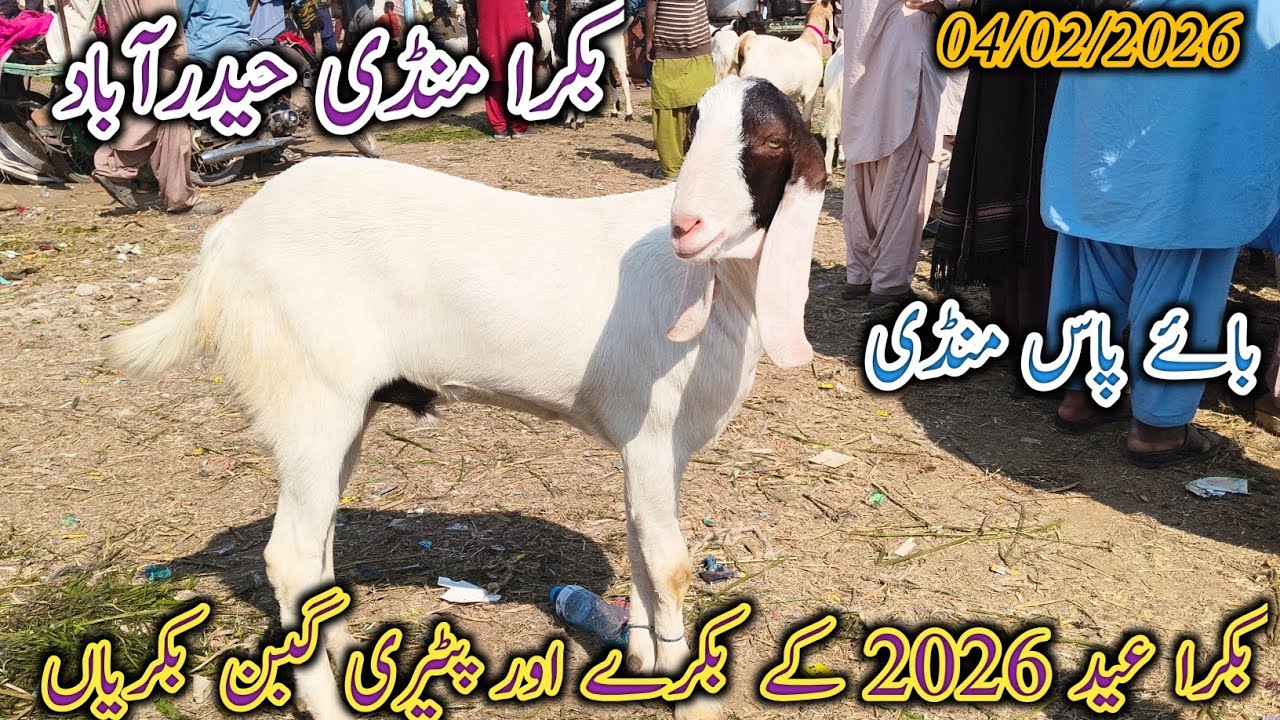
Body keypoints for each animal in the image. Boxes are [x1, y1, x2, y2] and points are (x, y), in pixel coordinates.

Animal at [104, 76, 826, 720]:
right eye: (694, 126)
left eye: (768, 139)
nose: (686, 223)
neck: (717, 287)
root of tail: (227, 241)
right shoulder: (650, 435)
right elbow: (671, 565)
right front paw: (687, 689)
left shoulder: (651, 448)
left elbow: (641, 547)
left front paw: (645, 657)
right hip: (309, 396)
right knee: (289, 557)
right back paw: (329, 704)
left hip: (342, 412)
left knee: (319, 539)